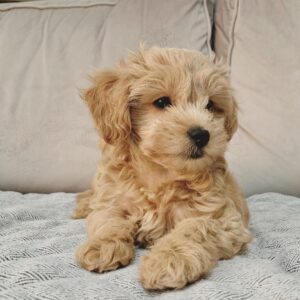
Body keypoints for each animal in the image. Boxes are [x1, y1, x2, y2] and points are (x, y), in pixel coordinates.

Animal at [74, 47, 252, 290]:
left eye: (210, 105)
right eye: (161, 102)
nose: (201, 134)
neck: (160, 174)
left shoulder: (225, 219)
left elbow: (195, 227)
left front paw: (168, 260)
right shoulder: (113, 200)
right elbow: (109, 220)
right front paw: (102, 246)